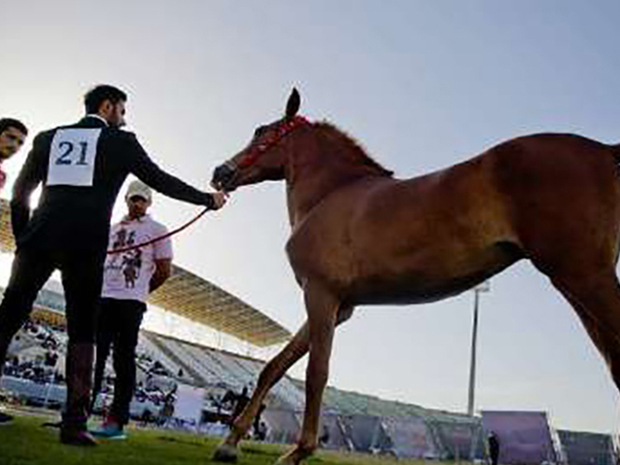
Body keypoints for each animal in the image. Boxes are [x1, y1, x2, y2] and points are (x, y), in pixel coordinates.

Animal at [209, 89, 620, 462]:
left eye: (262, 131)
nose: (220, 173)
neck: (331, 193)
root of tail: (603, 149)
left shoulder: (321, 295)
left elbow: (316, 373)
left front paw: (298, 452)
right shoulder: (338, 307)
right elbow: (275, 367)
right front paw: (229, 444)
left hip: (584, 277)